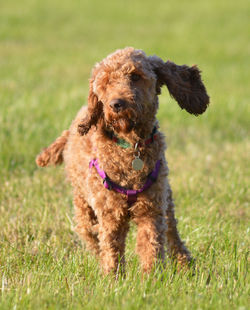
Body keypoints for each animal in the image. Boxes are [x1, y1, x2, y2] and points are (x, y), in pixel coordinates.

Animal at [36, 47, 209, 274]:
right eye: (106, 81)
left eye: (135, 76)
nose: (116, 104)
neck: (130, 145)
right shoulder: (110, 213)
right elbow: (111, 248)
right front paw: (112, 277)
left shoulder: (151, 208)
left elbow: (151, 245)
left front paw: (151, 277)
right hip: (83, 206)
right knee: (90, 233)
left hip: (166, 199)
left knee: (172, 231)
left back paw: (185, 263)